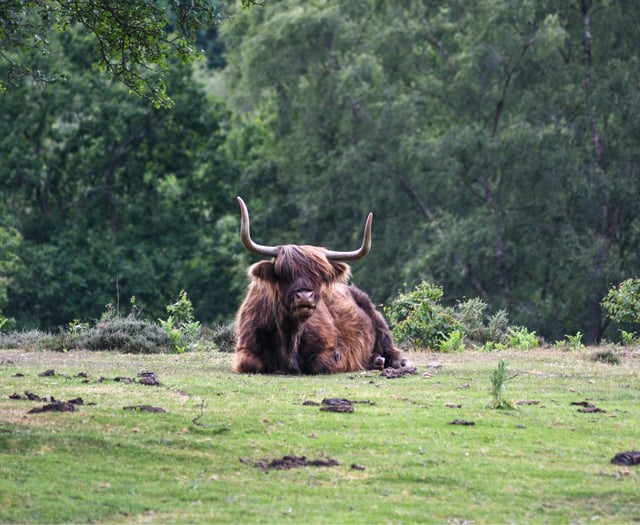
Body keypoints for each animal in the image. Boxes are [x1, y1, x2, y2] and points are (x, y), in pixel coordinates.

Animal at [232, 195, 408, 372]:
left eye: (319, 275)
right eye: (283, 273)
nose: (304, 296)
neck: (290, 335)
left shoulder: (331, 350)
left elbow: (320, 364)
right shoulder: (245, 348)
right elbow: (250, 363)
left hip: (377, 319)